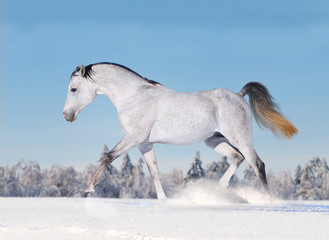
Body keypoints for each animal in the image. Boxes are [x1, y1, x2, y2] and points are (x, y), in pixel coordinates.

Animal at [62, 62, 298, 199]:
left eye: (73, 89)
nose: (66, 115)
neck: (134, 96)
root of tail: (239, 95)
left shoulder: (133, 137)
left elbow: (107, 157)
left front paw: (89, 189)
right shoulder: (144, 143)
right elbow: (154, 172)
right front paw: (163, 201)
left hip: (240, 137)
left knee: (257, 164)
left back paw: (268, 201)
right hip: (214, 140)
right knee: (237, 158)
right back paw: (220, 188)